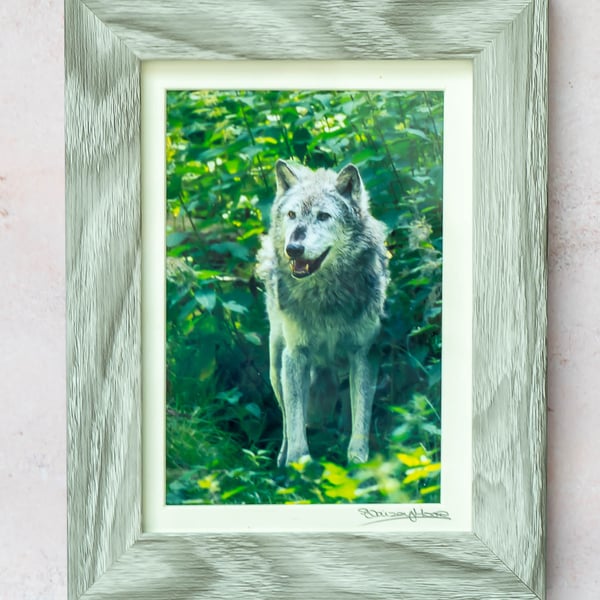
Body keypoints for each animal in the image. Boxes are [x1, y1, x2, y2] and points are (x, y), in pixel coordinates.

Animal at [256, 161, 390, 468]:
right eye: (292, 215)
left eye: (323, 216)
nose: (293, 249)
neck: (325, 296)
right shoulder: (296, 355)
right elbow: (295, 420)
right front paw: (299, 463)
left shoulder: (364, 352)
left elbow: (361, 413)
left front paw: (358, 458)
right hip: (276, 365)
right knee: (285, 417)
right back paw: (282, 456)